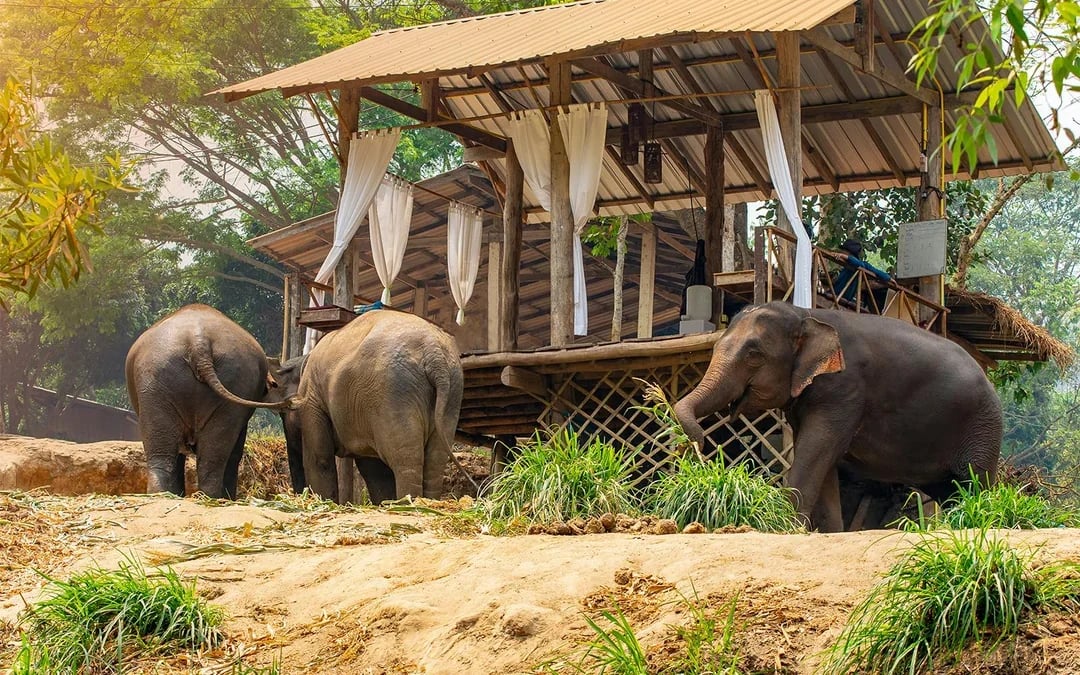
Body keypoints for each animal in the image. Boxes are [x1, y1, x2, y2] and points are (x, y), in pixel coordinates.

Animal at [284, 309, 464, 505]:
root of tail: (433, 353)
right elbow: (374, 469)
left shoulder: (312, 398)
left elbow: (320, 459)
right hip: (451, 392)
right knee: (435, 459)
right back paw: (428, 503)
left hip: (393, 391)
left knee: (406, 459)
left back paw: (408, 504)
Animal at [673, 301, 1002, 532]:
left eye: (754, 354)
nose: (699, 444)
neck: (806, 314)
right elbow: (823, 460)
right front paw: (828, 532)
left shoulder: (844, 389)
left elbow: (816, 449)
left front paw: (785, 527)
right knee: (950, 491)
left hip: (982, 427)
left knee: (974, 481)